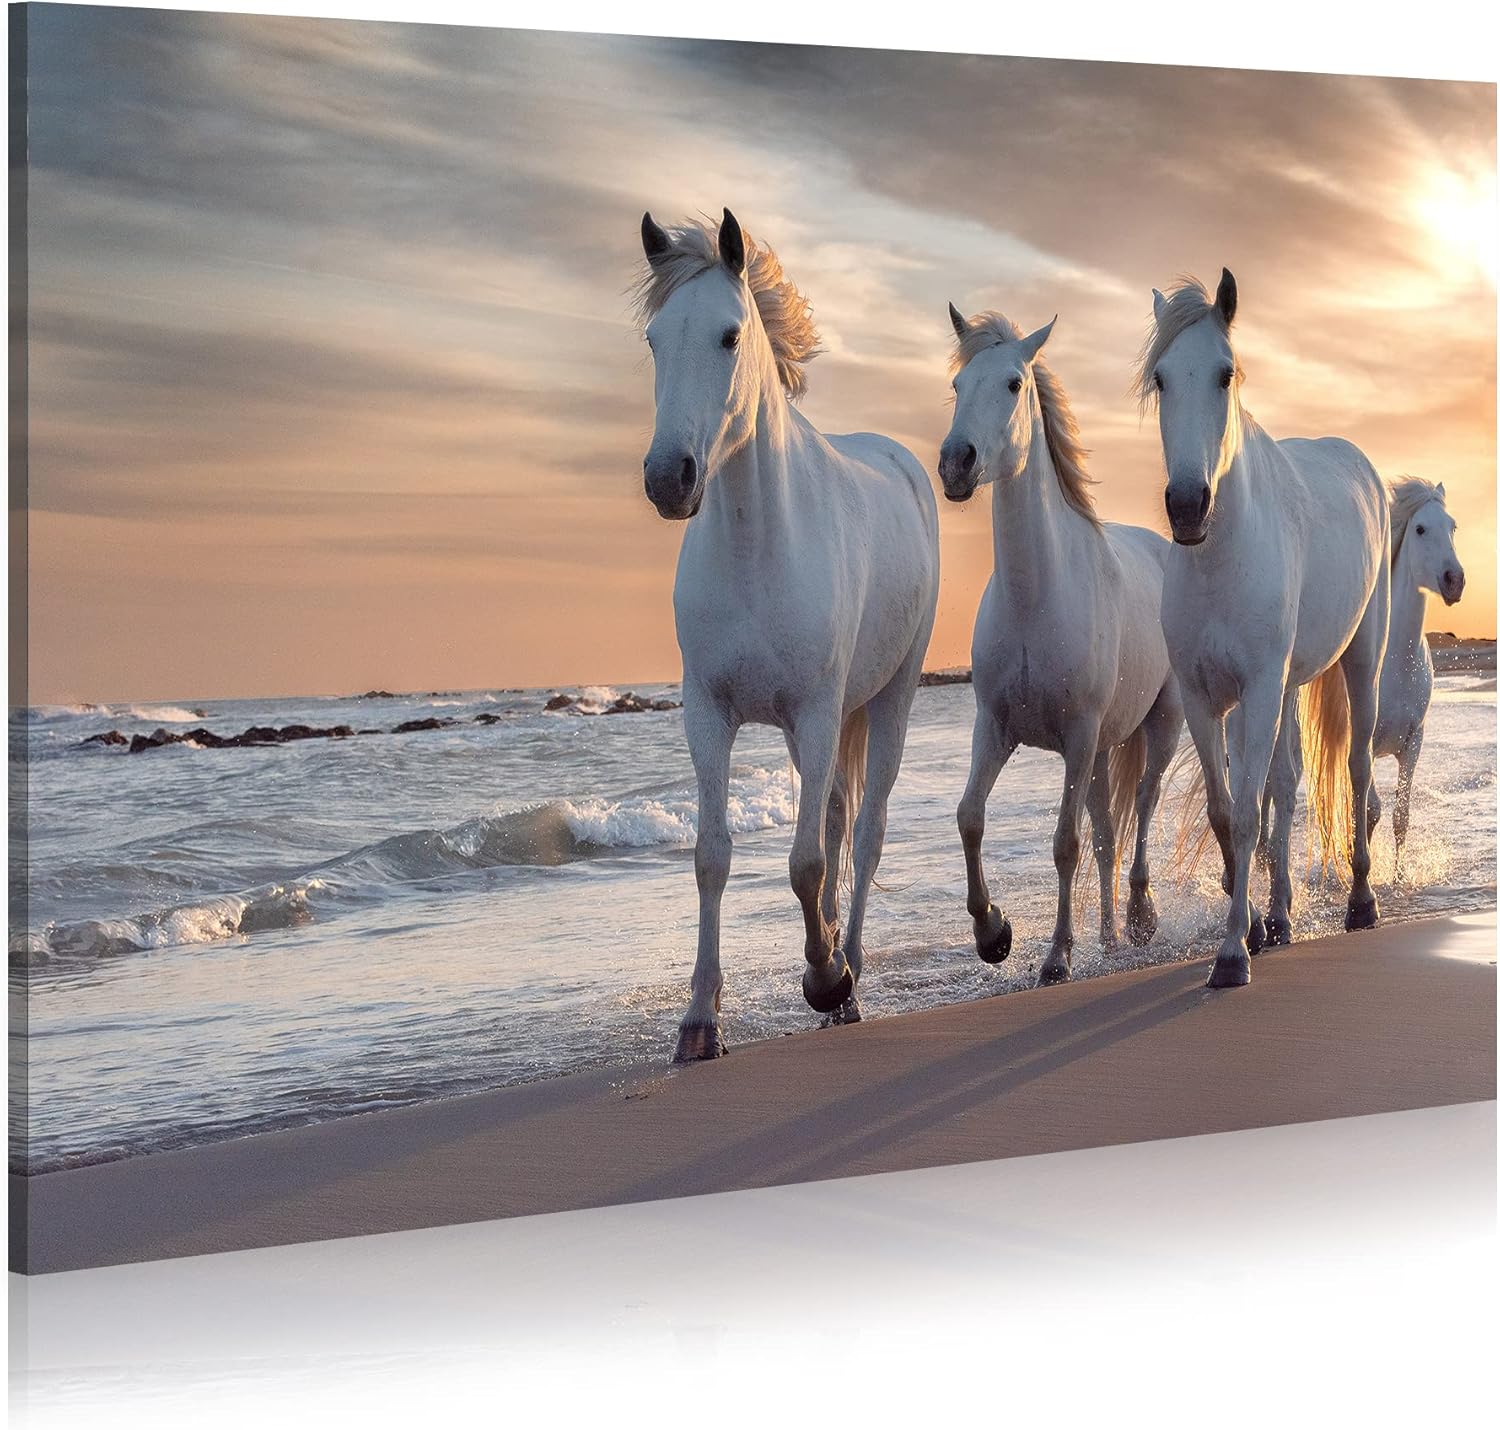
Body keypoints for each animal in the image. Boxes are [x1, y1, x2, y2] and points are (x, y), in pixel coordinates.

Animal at [635, 208, 940, 1060]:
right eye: (654, 339)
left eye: (730, 335)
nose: (668, 478)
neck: (755, 546)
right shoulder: (708, 715)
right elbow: (713, 856)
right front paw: (699, 1020)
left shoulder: (814, 710)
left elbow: (806, 863)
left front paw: (826, 976)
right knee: (836, 821)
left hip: (888, 701)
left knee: (863, 835)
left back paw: (848, 973)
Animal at [937, 306, 1182, 986]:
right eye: (958, 386)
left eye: (1014, 383)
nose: (956, 462)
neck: (1035, 597)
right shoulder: (995, 728)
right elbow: (969, 817)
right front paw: (993, 933)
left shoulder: (1076, 734)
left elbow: (1065, 844)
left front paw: (1056, 956)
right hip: (1100, 752)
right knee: (1107, 828)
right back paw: (1111, 936)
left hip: (1159, 725)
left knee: (1143, 805)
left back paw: (1140, 917)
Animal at [1139, 270, 1390, 989]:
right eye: (1161, 378)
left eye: (1225, 374)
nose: (1187, 505)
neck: (1221, 559)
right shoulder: (1206, 699)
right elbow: (1230, 810)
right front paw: (1249, 922)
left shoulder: (1255, 690)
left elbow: (1250, 810)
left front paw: (1231, 955)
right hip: (1286, 687)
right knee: (1286, 782)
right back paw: (1278, 917)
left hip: (1360, 660)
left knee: (1357, 769)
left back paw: (1361, 902)